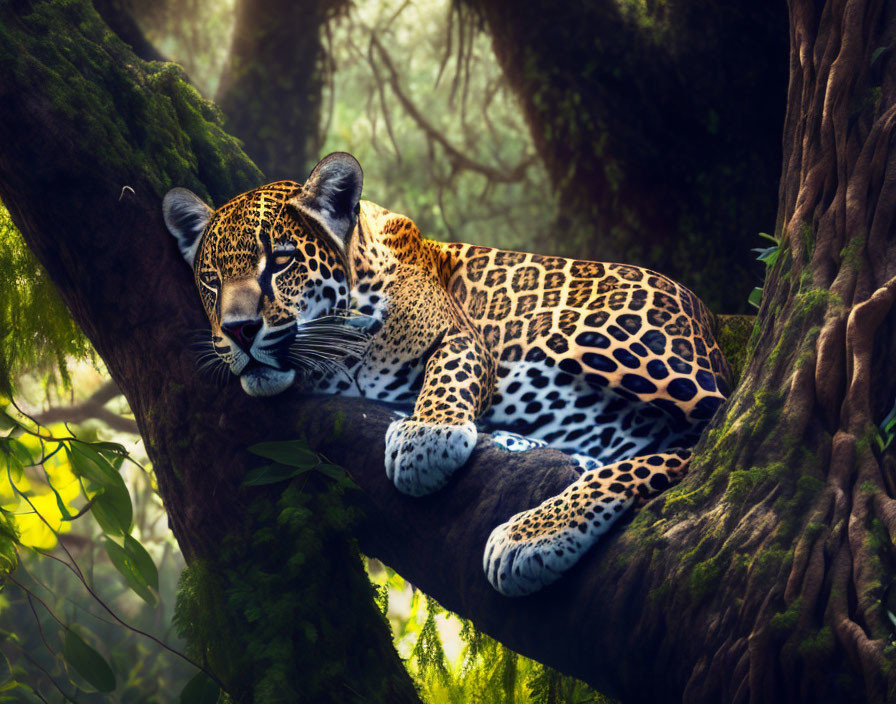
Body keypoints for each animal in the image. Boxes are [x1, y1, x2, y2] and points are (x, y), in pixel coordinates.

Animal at [164, 151, 732, 596]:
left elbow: (447, 377)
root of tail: (708, 324)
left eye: (279, 262)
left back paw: (527, 538)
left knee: (712, 434)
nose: (238, 330)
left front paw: (427, 440)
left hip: (603, 341)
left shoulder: (461, 334)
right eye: (211, 281)